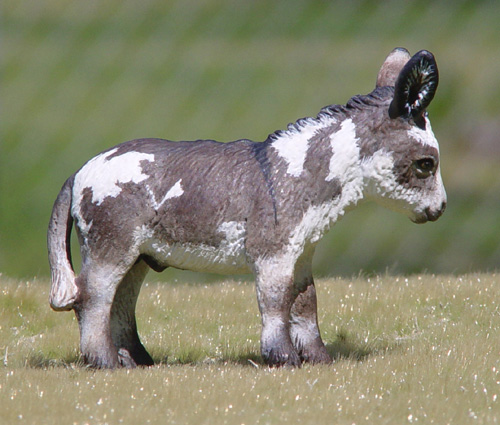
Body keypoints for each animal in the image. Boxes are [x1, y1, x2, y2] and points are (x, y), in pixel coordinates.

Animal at [47, 48, 446, 368]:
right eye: (426, 164)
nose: (440, 209)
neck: (297, 173)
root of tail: (80, 171)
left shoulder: (302, 255)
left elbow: (305, 303)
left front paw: (318, 359)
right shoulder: (273, 256)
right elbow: (275, 302)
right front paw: (283, 358)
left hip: (139, 257)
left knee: (120, 303)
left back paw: (136, 362)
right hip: (110, 248)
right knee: (93, 299)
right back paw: (104, 362)